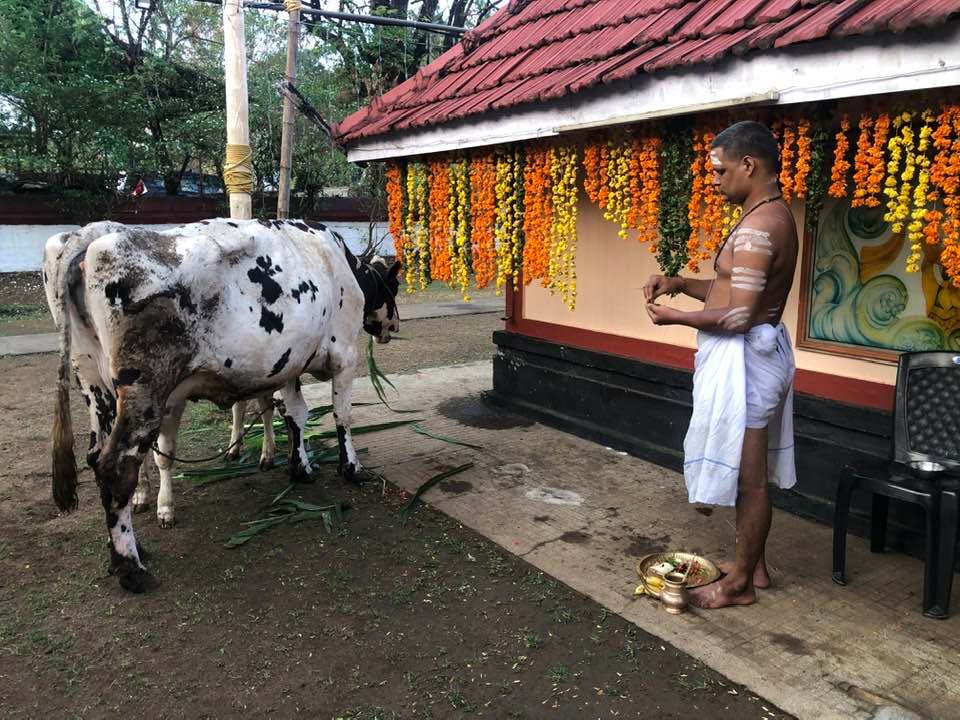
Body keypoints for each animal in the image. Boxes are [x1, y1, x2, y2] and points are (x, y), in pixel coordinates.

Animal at [45, 218, 402, 592]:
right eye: (394, 284)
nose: (394, 324)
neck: (339, 261)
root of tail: (88, 241)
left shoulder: (291, 362)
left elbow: (296, 414)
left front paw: (301, 467)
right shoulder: (345, 355)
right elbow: (342, 414)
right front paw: (351, 468)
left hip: (94, 385)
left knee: (95, 458)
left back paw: (127, 551)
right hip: (144, 392)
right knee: (116, 468)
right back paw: (131, 567)